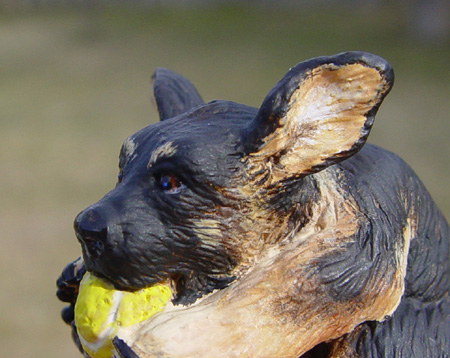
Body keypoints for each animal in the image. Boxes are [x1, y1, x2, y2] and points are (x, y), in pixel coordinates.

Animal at [58, 52, 448, 358]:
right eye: (121, 171)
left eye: (170, 182)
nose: (84, 229)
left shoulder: (356, 260)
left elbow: (270, 298)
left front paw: (160, 341)